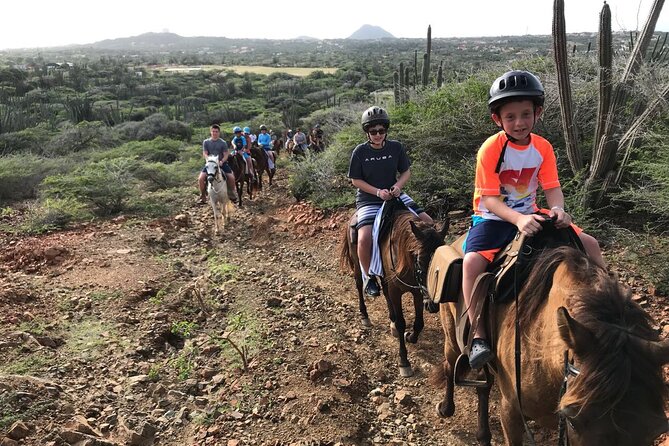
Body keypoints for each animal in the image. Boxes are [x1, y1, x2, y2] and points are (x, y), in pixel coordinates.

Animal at [340, 210, 448, 376]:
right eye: (420, 261)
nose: (433, 304)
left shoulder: (417, 291)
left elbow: (419, 323)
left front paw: (410, 337)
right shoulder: (396, 292)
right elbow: (401, 323)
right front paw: (404, 362)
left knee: (385, 292)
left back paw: (391, 320)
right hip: (358, 265)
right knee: (359, 285)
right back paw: (364, 315)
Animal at [430, 246, 664, 444]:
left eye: (658, 430)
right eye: (573, 420)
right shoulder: (510, 411)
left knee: (483, 386)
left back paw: (483, 435)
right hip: (452, 338)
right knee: (450, 366)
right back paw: (446, 408)